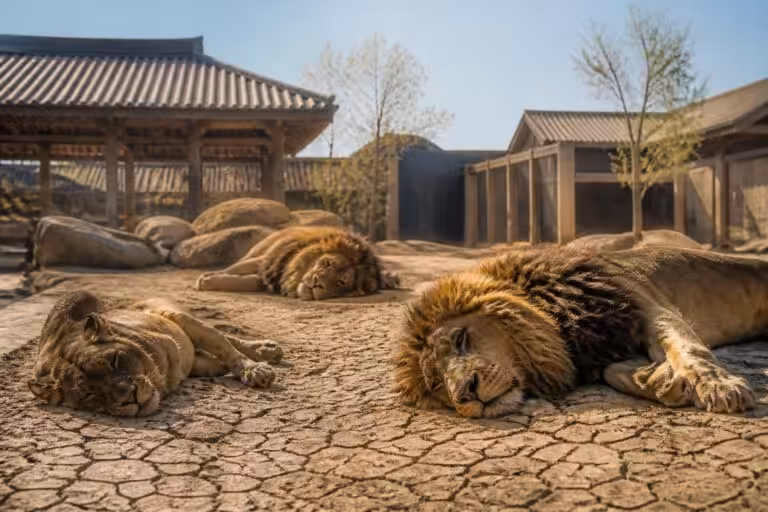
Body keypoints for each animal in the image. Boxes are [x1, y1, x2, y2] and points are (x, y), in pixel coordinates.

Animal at [28, 290, 284, 417]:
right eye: (88, 395)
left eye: (114, 360)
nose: (130, 397)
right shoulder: (199, 364)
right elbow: (220, 360)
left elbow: (227, 350)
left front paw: (256, 370)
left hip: (173, 314)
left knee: (225, 338)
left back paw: (266, 350)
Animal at [194, 225, 400, 300]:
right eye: (327, 263)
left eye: (341, 282)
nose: (317, 283)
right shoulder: (268, 261)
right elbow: (235, 270)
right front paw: (206, 278)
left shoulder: (267, 279)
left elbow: (246, 281)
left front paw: (208, 281)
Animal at [394, 245, 768, 418]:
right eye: (436, 384)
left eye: (460, 339)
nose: (465, 395)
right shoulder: (597, 348)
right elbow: (613, 371)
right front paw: (658, 381)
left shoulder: (646, 305)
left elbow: (688, 348)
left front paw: (721, 387)